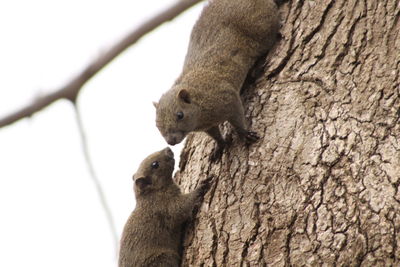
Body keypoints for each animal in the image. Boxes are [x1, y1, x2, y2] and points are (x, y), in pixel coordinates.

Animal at [155, 0, 280, 161]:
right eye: (157, 125)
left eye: (180, 115)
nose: (171, 141)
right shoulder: (208, 125)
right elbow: (214, 134)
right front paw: (219, 145)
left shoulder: (227, 98)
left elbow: (237, 117)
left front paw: (244, 133)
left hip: (262, 29)